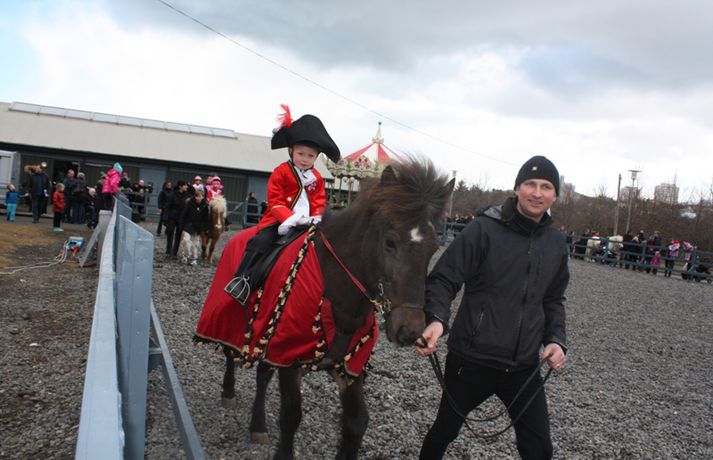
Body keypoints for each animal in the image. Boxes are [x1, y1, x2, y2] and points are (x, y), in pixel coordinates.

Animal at [195, 157, 454, 459]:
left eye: (433, 248)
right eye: (390, 242)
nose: (410, 329)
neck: (337, 296)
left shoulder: (348, 368)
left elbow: (357, 422)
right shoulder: (288, 358)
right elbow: (291, 415)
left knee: (262, 375)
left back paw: (257, 425)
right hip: (234, 321)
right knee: (229, 352)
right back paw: (228, 392)